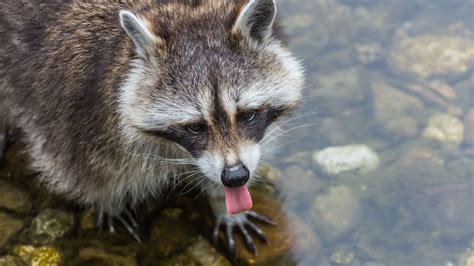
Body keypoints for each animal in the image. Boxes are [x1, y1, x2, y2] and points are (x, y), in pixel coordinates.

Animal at [0, 0, 304, 254]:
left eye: (247, 115)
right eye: (195, 127)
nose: (236, 176)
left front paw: (224, 203)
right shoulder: (72, 105)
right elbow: (78, 169)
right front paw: (109, 200)